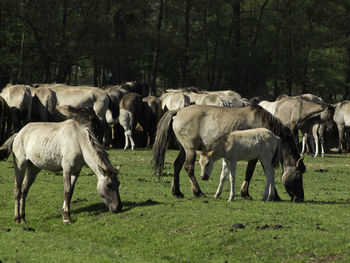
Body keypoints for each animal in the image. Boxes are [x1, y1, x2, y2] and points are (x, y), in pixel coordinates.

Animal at [152, 104, 304, 202]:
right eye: (299, 175)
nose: (300, 198)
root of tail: (177, 112)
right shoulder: (256, 156)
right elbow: (251, 172)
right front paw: (247, 194)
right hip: (190, 149)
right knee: (188, 167)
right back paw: (198, 192)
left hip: (184, 149)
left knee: (177, 165)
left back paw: (177, 192)